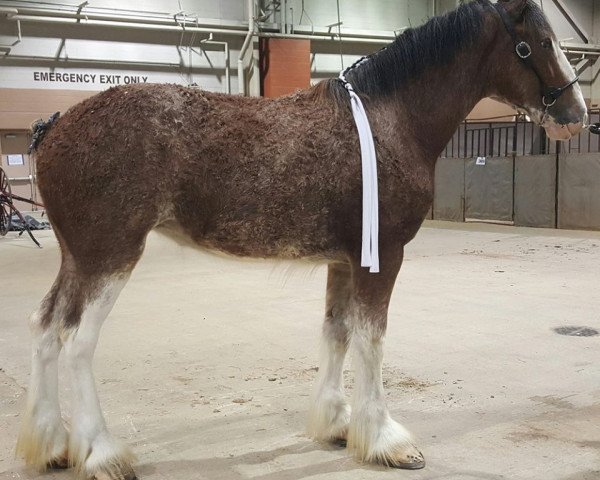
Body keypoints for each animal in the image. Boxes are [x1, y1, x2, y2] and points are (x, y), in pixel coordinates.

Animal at [17, 0, 584, 478]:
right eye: (537, 43)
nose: (576, 115)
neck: (390, 119)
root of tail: (56, 125)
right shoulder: (383, 257)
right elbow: (372, 340)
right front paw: (385, 440)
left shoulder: (345, 260)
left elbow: (337, 333)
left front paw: (337, 424)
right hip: (110, 256)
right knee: (77, 342)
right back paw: (101, 453)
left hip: (77, 259)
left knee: (45, 329)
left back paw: (53, 446)